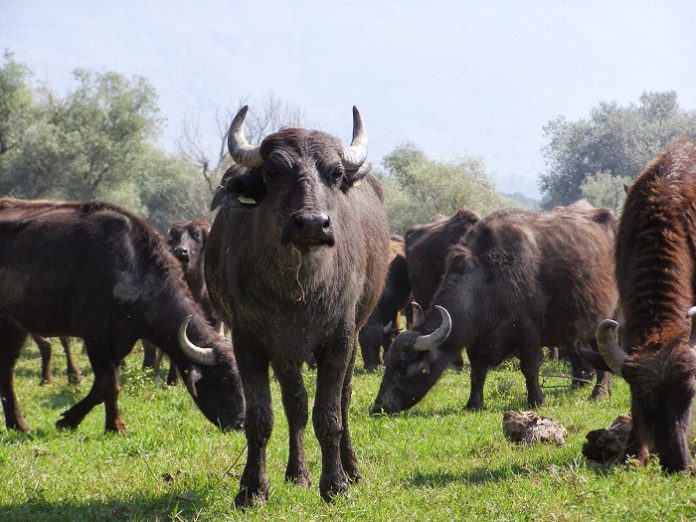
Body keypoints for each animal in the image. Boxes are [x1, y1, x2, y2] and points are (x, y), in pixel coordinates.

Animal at [0, 196, 245, 430]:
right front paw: (114, 425)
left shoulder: (120, 342)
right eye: (223, 380)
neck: (131, 268)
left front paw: (71, 419)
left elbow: (101, 386)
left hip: (15, 326)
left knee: (7, 369)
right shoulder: (95, 337)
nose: (240, 423)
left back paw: (18, 424)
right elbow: (110, 385)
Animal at [204, 106, 392, 504]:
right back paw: (297, 473)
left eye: (334, 173)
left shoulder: (340, 338)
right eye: (273, 171)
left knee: (343, 402)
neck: (298, 289)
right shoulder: (250, 341)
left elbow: (330, 415)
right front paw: (252, 489)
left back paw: (351, 469)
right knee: (295, 406)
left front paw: (336, 484)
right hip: (286, 353)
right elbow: (263, 417)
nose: (311, 223)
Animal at [372, 201, 616, 412]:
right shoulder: (475, 336)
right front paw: (473, 404)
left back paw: (598, 394)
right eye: (388, 365)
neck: (488, 280)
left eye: (405, 369)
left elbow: (529, 368)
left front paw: (537, 400)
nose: (379, 407)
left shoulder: (529, 333)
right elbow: (477, 371)